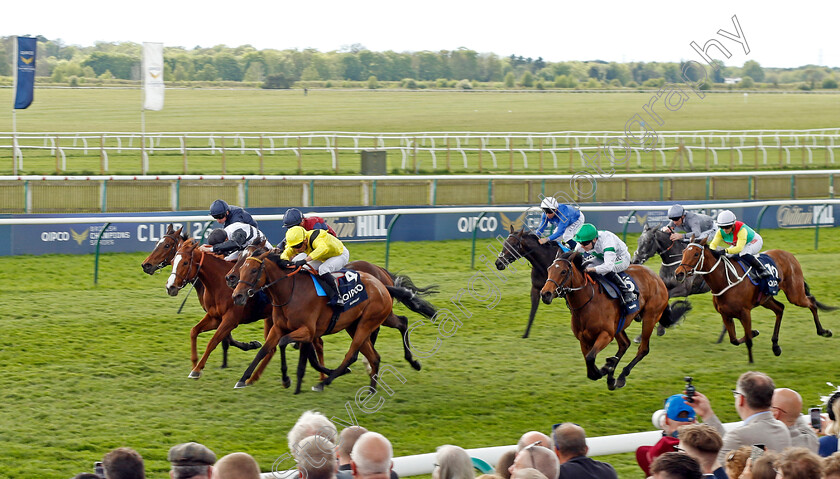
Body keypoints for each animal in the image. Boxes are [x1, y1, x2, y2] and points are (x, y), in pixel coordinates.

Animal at [141, 223, 260, 370]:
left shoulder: (228, 313)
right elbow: (227, 338)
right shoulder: (217, 314)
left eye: (167, 245)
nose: (146, 265)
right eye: (157, 243)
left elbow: (225, 337)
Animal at [233, 251, 424, 394]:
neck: (290, 292)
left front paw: (287, 379)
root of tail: (382, 285)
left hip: (367, 323)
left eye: (254, 270)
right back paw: (372, 389)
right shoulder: (279, 328)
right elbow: (263, 350)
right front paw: (243, 379)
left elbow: (283, 343)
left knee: (352, 354)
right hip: (356, 325)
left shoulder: (307, 331)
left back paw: (323, 383)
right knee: (377, 354)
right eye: (241, 269)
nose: (237, 296)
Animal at [540, 251, 684, 390]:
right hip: (619, 326)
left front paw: (607, 368)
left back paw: (621, 376)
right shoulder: (583, 340)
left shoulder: (606, 335)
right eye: (549, 269)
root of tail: (658, 279)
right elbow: (590, 366)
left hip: (650, 317)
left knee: (643, 349)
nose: (545, 294)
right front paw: (608, 370)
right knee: (625, 344)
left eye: (563, 271)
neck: (588, 303)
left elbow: (591, 358)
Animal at [672, 240, 836, 364]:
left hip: (795, 294)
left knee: (811, 302)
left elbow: (748, 341)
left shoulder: (745, 312)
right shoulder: (725, 314)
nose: (679, 273)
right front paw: (754, 332)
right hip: (766, 299)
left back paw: (823, 331)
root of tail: (789, 255)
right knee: (780, 308)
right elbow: (734, 340)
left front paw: (751, 363)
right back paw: (775, 346)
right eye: (684, 252)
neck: (725, 280)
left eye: (696, 254)